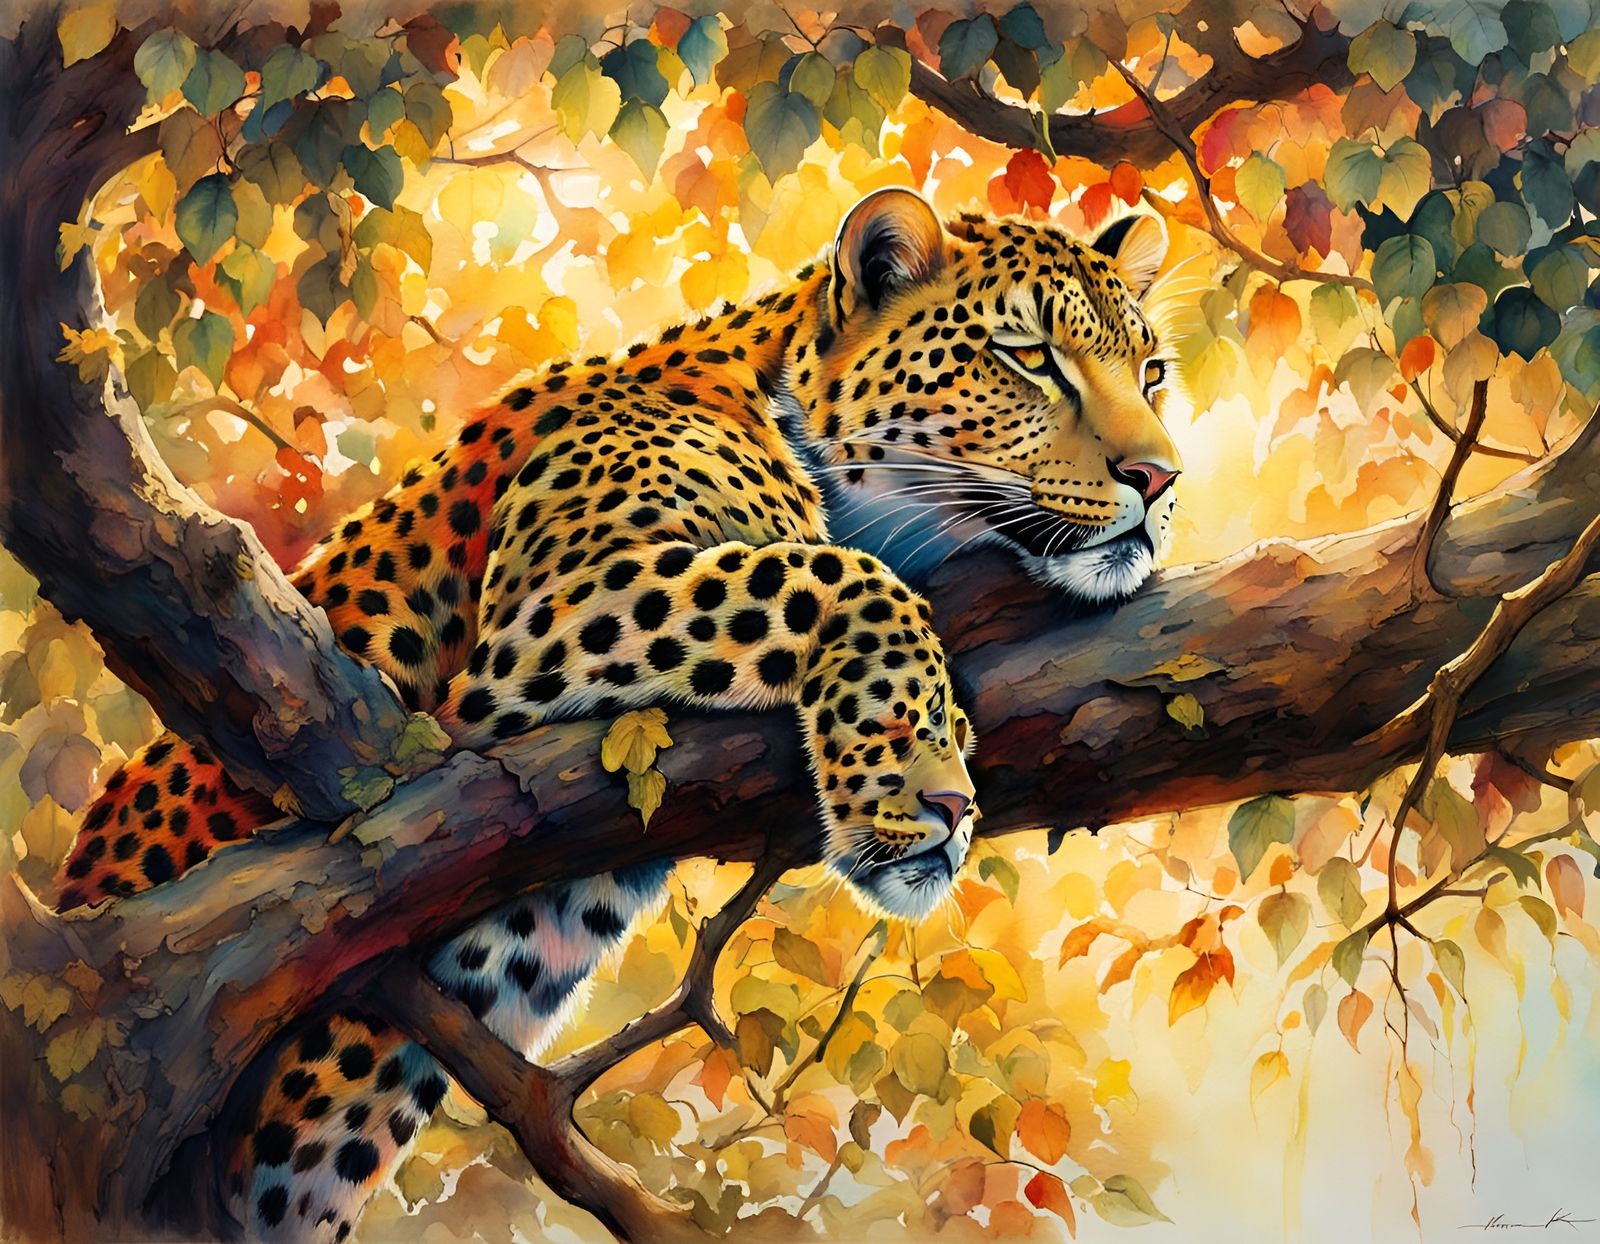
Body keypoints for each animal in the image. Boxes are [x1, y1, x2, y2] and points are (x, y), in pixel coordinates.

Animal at [50, 189, 1181, 1240]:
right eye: (1029, 358)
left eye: (1153, 372)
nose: (1159, 476)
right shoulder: (550, 617)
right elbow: (833, 572)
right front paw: (908, 791)